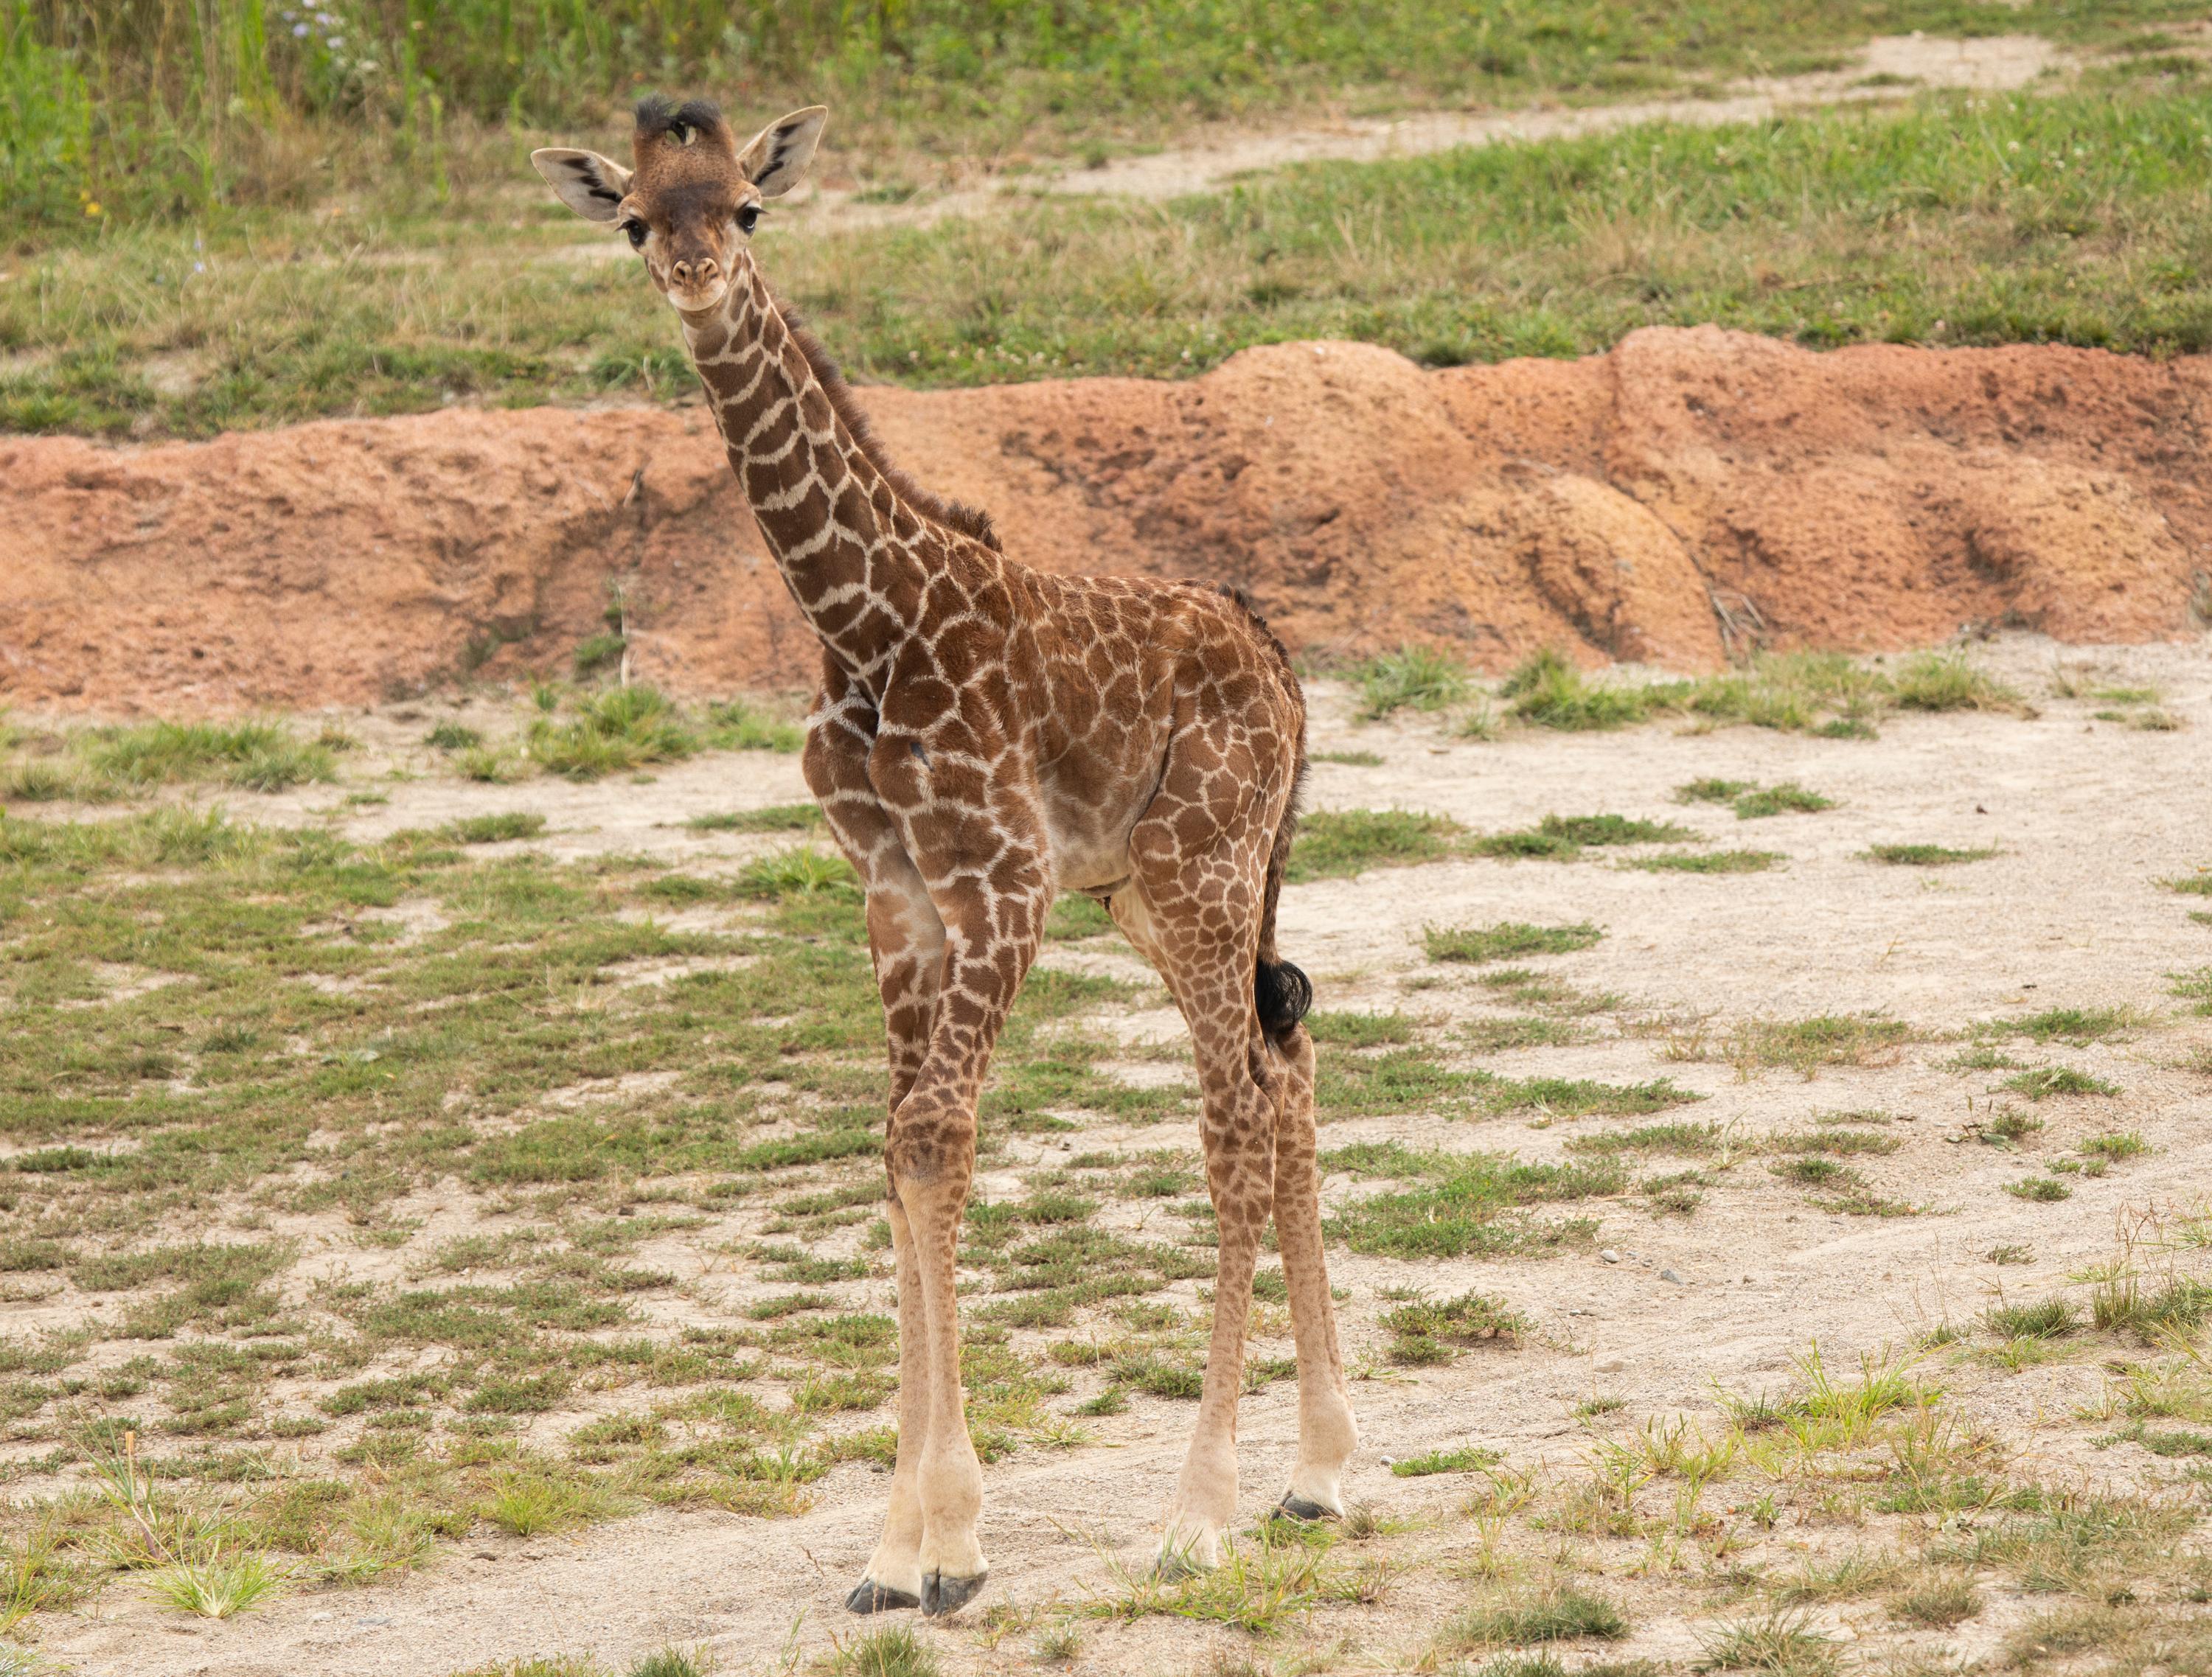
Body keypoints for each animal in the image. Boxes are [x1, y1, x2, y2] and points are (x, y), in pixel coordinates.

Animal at [538, 98, 1354, 1619]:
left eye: (745, 207)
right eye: (632, 219)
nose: (691, 275)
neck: (868, 626)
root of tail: (1280, 659)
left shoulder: (1002, 885)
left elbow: (939, 1134)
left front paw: (953, 1544)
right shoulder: (898, 898)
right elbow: (904, 1141)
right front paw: (898, 1552)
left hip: (1205, 868)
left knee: (1230, 1120)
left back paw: (1200, 1514)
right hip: (1153, 895)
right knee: (1286, 1064)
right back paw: (1321, 1471)